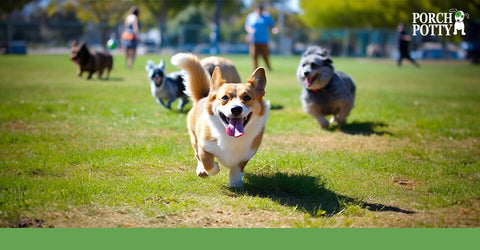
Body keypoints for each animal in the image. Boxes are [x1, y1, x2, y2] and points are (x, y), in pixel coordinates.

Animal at [172, 53, 270, 188]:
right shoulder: (204, 145)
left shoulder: (245, 155)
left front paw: (235, 183)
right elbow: (207, 161)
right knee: (197, 156)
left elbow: (237, 169)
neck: (230, 136)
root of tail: (203, 97)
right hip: (194, 138)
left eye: (247, 98)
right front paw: (213, 169)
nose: (236, 109)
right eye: (224, 98)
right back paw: (201, 170)